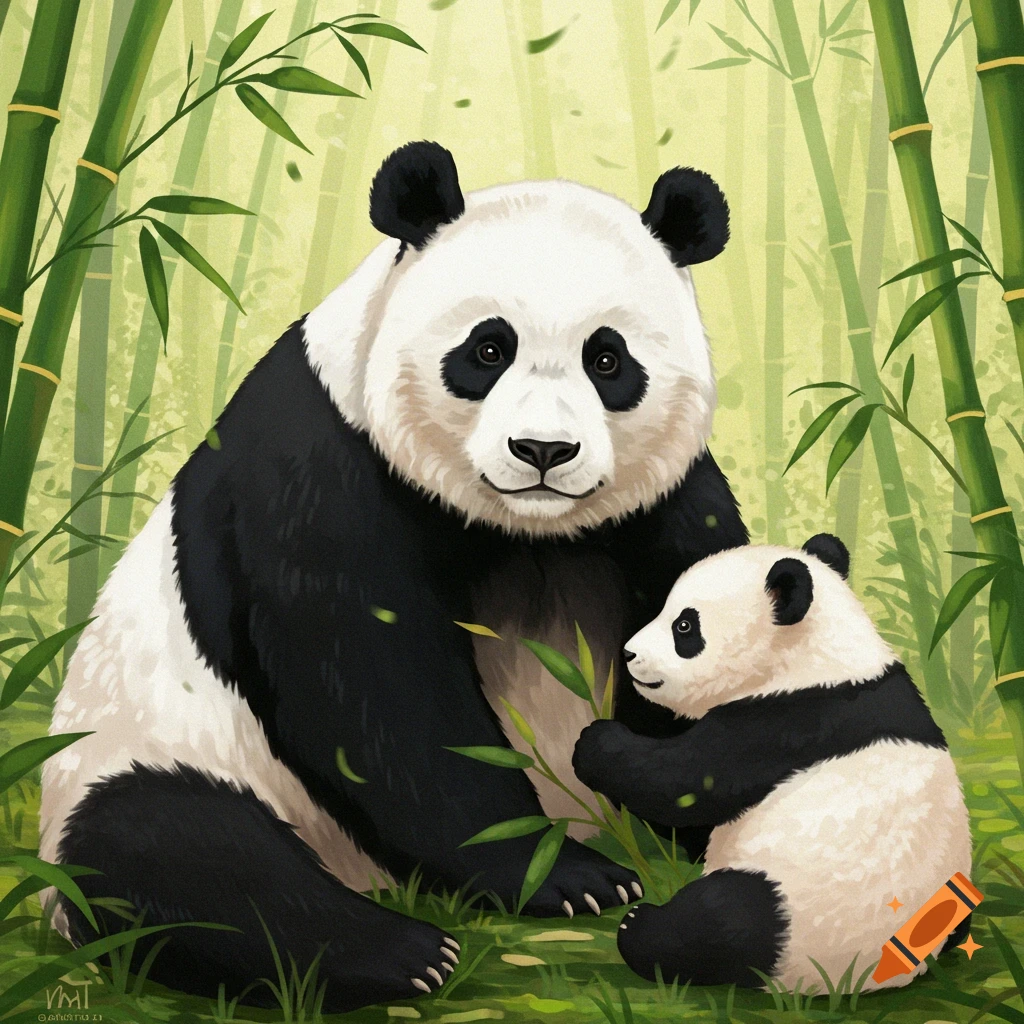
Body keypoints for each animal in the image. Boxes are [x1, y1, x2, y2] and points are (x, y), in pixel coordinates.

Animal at [38, 141, 746, 1014]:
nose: (543, 451)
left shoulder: (669, 502)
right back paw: (400, 952)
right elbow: (375, 690)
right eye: (487, 350)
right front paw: (562, 877)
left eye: (608, 359)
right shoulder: (323, 466)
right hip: (141, 753)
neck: (525, 531)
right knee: (171, 849)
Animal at [573, 534, 972, 992]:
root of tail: (876, 978)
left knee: (726, 918)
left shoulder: (785, 723)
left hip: (795, 903)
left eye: (684, 626)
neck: (819, 657)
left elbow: (683, 783)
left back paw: (641, 925)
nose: (629, 653)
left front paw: (594, 742)